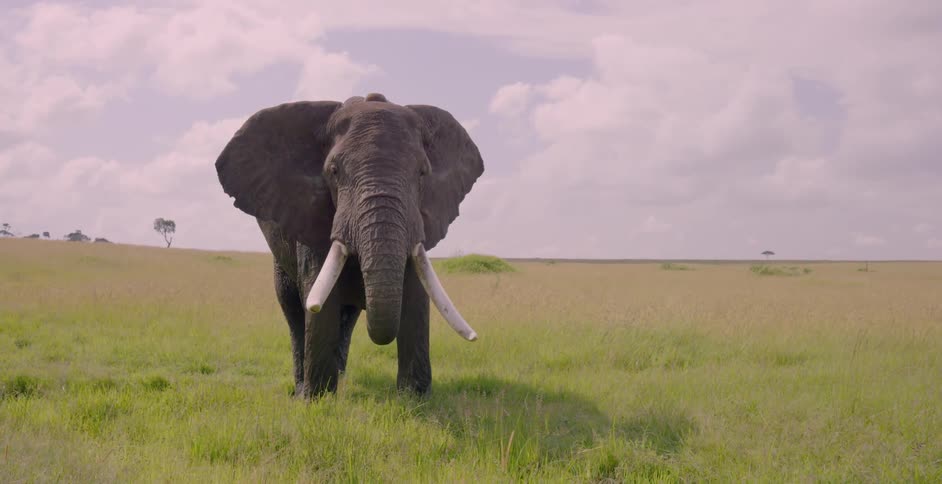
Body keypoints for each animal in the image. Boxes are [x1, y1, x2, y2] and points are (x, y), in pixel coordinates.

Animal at [214, 93, 484, 398]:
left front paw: (414, 398)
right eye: (333, 171)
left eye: (423, 173)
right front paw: (318, 399)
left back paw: (340, 377)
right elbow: (320, 298)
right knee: (293, 308)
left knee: (347, 315)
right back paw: (303, 387)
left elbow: (416, 294)